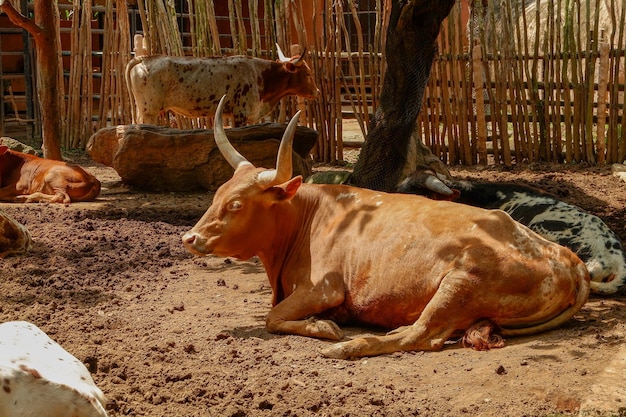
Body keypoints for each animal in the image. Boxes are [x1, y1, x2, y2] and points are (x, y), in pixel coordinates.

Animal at [123, 45, 316, 126]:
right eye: (307, 73)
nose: (317, 91)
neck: (261, 74)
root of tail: (145, 58)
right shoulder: (240, 115)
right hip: (149, 112)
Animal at [182, 96, 588, 358]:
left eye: (237, 204)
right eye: (218, 194)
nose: (190, 237)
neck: (308, 216)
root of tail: (568, 258)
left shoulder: (324, 288)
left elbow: (273, 317)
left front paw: (325, 328)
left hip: (458, 284)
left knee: (421, 336)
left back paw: (351, 346)